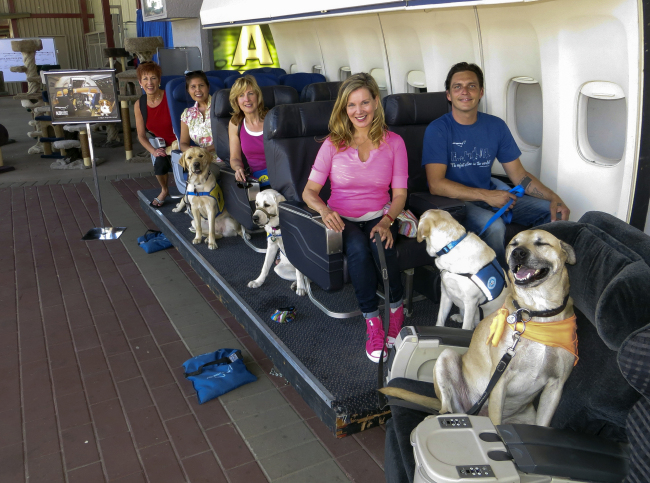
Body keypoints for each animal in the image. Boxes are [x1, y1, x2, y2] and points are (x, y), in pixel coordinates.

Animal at [382, 231, 576, 428]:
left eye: (541, 243)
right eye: (514, 244)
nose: (517, 253)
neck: (536, 313)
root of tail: (474, 412)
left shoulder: (555, 387)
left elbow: (541, 424)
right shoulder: (499, 381)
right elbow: (496, 423)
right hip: (447, 357)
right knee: (445, 409)